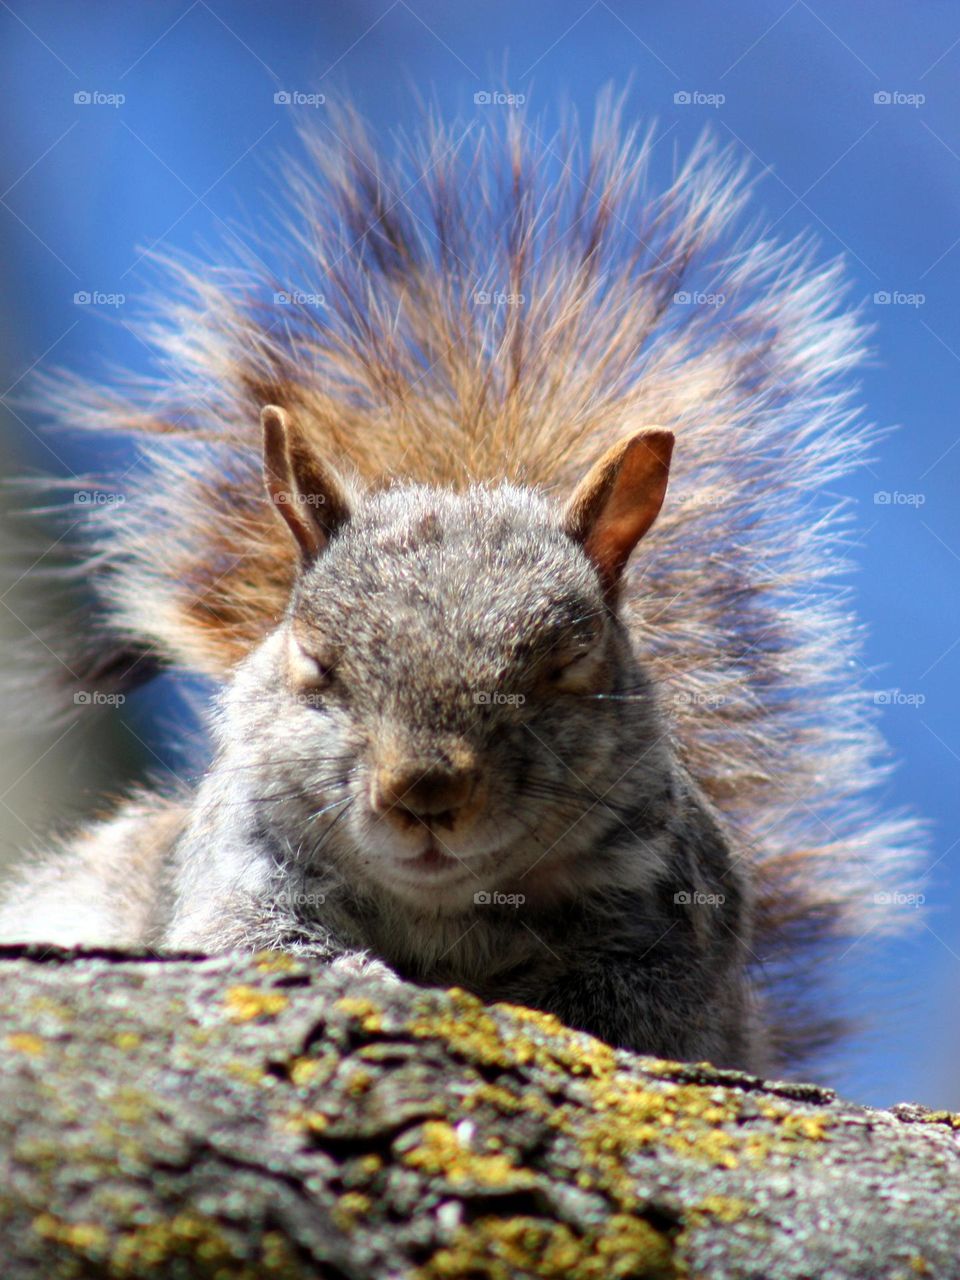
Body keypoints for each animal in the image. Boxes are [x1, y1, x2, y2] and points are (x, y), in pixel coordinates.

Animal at [0, 102, 921, 1080]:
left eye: (570, 661)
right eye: (313, 660)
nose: (425, 795)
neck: (444, 909)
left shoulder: (674, 923)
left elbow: (632, 1010)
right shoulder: (239, 871)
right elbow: (255, 942)